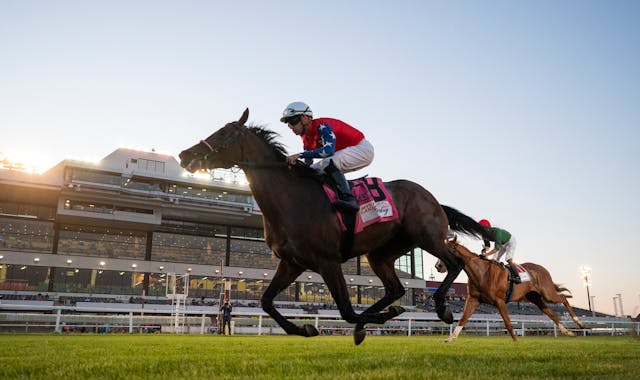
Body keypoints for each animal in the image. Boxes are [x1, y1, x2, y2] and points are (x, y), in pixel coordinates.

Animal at [180, 109, 490, 344]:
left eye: (223, 133)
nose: (184, 155)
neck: (291, 199)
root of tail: (432, 198)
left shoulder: (328, 262)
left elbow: (347, 310)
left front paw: (372, 320)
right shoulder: (292, 263)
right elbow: (266, 301)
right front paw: (305, 328)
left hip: (427, 237)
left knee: (455, 264)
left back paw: (442, 308)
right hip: (381, 253)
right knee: (395, 290)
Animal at [432, 238, 588, 342]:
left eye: (448, 249)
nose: (438, 266)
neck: (481, 273)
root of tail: (542, 269)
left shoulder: (499, 301)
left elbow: (507, 322)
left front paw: (516, 342)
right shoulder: (473, 299)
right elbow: (463, 318)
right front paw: (451, 338)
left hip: (547, 293)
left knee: (563, 298)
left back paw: (579, 323)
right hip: (535, 298)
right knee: (552, 313)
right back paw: (567, 332)